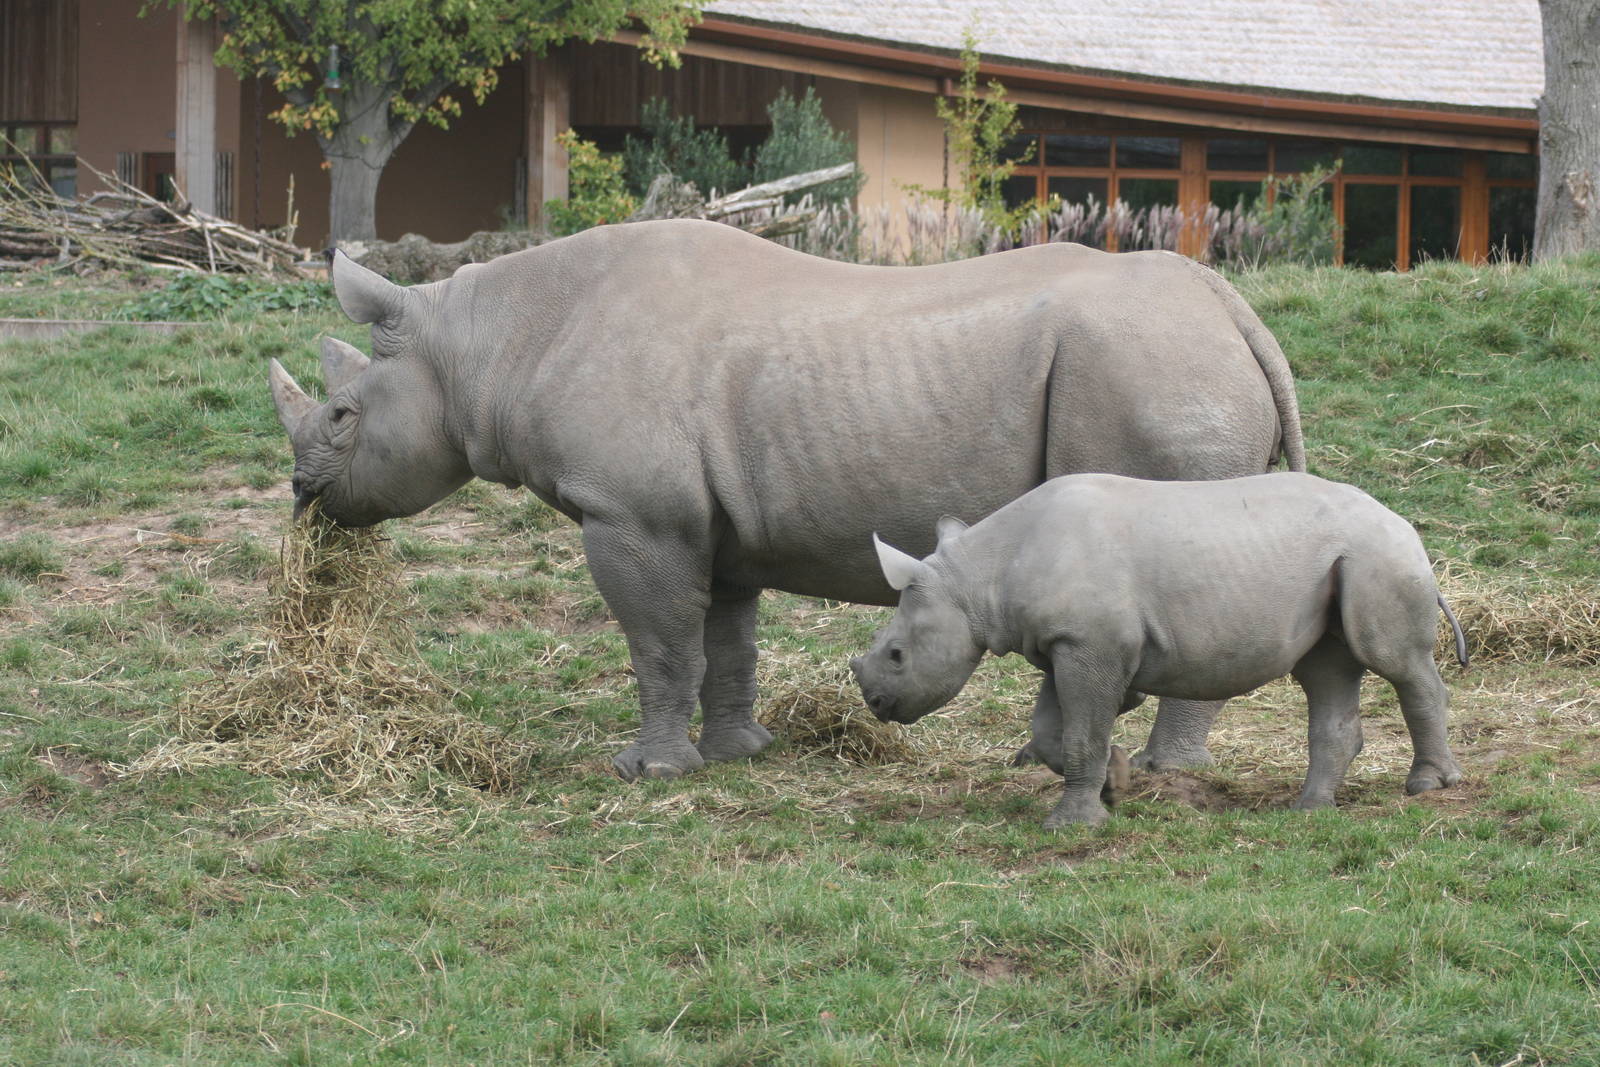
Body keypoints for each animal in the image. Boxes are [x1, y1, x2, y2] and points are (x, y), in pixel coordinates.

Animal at [267, 219, 1304, 782]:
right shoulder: (709, 524)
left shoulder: (632, 515)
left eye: (342, 413)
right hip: (1175, 364)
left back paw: (1163, 774)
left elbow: (658, 642)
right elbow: (725, 639)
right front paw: (739, 753)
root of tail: (1236, 313)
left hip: (1152, 371)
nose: (301, 492)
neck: (477, 344)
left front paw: (648, 771)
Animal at [852, 472, 1468, 828]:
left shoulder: (1091, 644)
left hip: (1378, 554)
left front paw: (1073, 824)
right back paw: (1309, 812)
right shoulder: (1067, 643)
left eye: (897, 655)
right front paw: (1116, 782)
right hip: (1342, 561)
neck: (977, 579)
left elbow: (1080, 731)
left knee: (1397, 664)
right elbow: (1052, 730)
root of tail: (1400, 520)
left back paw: (1428, 787)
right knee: (1326, 672)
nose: (878, 705)